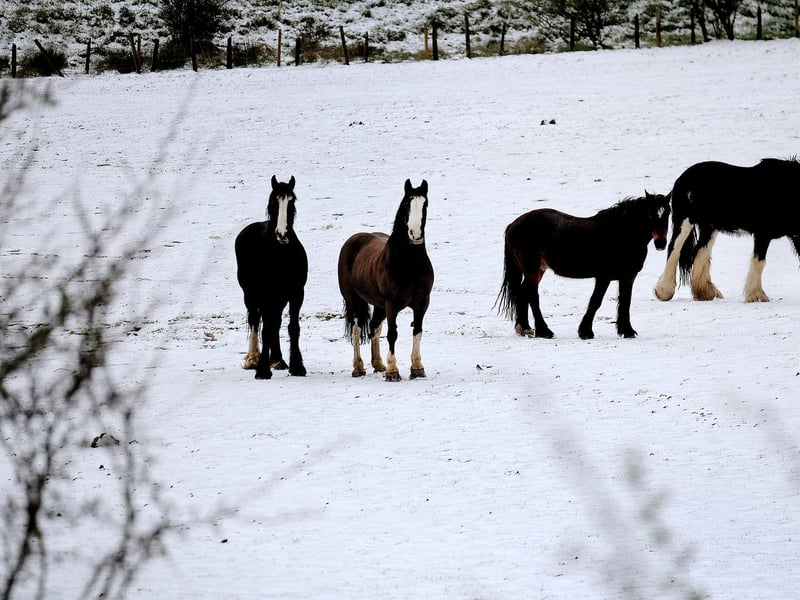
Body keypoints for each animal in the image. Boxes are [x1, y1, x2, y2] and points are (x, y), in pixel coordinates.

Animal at [234, 175, 307, 379]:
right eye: (274, 201)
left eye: (292, 200)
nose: (282, 234)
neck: (280, 255)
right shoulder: (267, 295)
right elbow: (265, 328)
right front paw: (262, 369)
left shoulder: (296, 293)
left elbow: (292, 327)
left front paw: (297, 367)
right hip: (251, 295)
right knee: (255, 319)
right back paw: (253, 358)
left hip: (278, 298)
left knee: (275, 322)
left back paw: (278, 359)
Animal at [337, 179, 434, 382]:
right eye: (406, 204)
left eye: (425, 204)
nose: (415, 234)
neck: (409, 264)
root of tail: (353, 240)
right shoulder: (392, 304)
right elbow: (392, 334)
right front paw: (393, 371)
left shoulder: (422, 303)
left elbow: (417, 331)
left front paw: (417, 367)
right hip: (354, 300)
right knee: (357, 331)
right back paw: (358, 368)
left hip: (378, 305)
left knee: (374, 328)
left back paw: (378, 364)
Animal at [497, 192, 670, 339]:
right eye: (650, 214)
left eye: (668, 213)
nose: (661, 243)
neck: (621, 233)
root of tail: (514, 225)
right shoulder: (603, 276)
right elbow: (595, 301)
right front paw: (585, 332)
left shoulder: (628, 276)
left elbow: (625, 301)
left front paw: (626, 331)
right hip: (532, 270)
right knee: (532, 295)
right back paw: (544, 331)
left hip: (538, 270)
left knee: (523, 292)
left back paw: (525, 328)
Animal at [654, 158, 800, 303]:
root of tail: (682, 178)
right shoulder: (762, 234)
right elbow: (759, 262)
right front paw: (756, 296)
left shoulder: (795, 236)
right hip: (685, 221)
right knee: (674, 249)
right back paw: (664, 292)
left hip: (709, 227)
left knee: (700, 253)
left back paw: (705, 293)